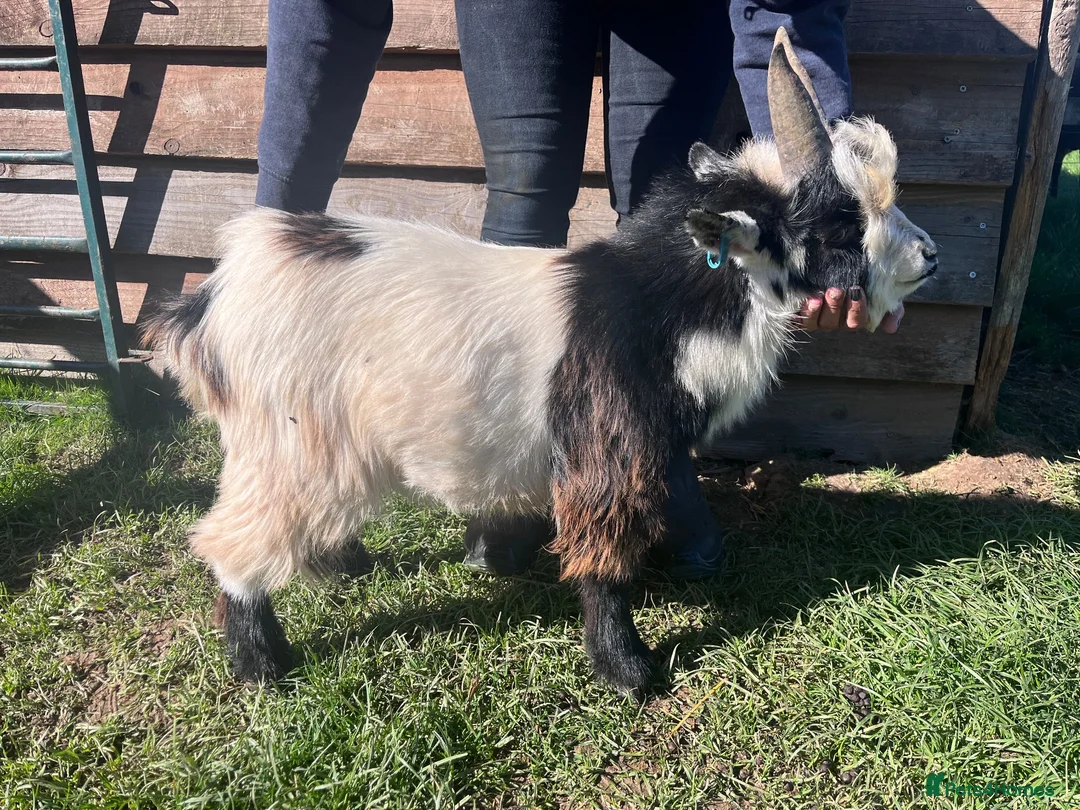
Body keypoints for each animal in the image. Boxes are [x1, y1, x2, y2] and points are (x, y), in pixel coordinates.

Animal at [145, 29, 939, 697]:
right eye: (838, 227)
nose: (930, 256)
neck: (657, 308)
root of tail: (216, 298)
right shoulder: (606, 451)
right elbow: (604, 563)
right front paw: (628, 670)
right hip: (286, 442)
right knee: (230, 541)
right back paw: (261, 666)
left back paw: (340, 568)